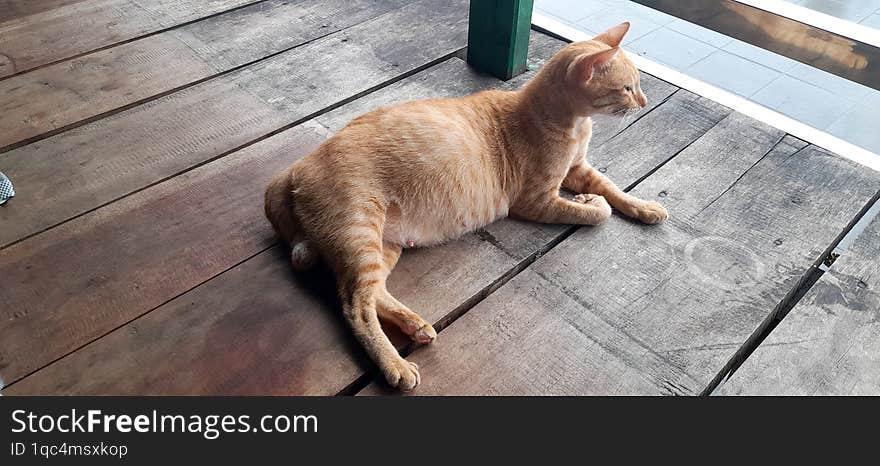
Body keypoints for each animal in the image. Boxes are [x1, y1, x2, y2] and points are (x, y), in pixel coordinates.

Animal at [264, 23, 664, 392]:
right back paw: (395, 365)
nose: (644, 102)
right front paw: (590, 203)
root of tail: (294, 168)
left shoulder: (579, 169)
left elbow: (613, 189)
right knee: (354, 305)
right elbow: (599, 211)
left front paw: (645, 207)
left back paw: (414, 325)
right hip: (359, 234)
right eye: (627, 88)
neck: (575, 125)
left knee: (374, 292)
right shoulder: (536, 201)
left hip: (383, 246)